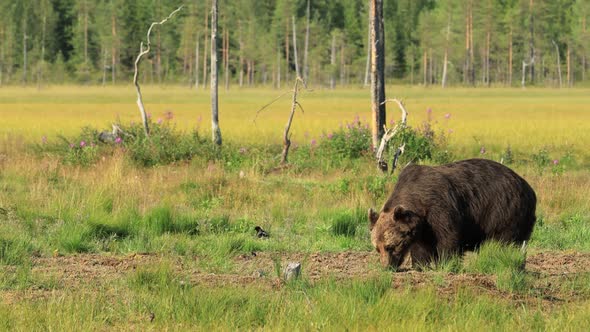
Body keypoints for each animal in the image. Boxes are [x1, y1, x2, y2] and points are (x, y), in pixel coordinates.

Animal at [372, 158, 540, 270]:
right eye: (377, 248)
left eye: (390, 246)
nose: (387, 266)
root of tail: (529, 188)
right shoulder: (422, 225)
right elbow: (421, 246)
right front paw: (420, 265)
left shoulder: (440, 208)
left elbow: (448, 237)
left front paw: (446, 263)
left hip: (505, 210)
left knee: (504, 242)